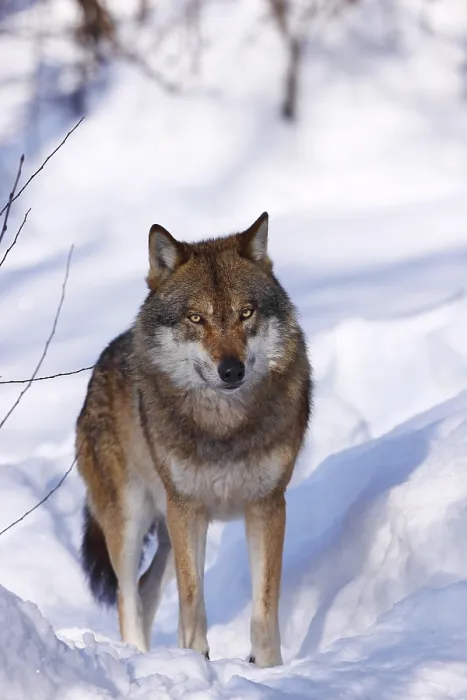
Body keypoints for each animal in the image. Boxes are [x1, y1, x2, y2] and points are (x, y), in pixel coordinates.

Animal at [76, 212, 311, 668]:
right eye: (196, 319)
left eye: (245, 313)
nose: (231, 370)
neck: (223, 427)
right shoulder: (188, 510)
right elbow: (193, 601)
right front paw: (196, 658)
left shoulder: (267, 506)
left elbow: (264, 607)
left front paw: (268, 669)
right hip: (132, 520)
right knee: (127, 596)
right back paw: (137, 657)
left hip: (167, 530)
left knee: (146, 590)